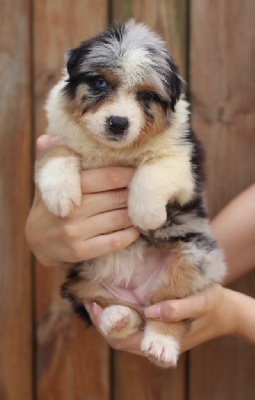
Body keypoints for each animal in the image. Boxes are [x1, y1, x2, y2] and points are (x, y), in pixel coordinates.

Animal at [34, 20, 226, 368]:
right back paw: (116, 318)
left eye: (147, 95)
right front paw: (60, 196)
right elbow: (57, 154)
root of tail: (134, 291)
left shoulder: (185, 159)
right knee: (115, 311)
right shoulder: (55, 134)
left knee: (167, 308)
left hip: (194, 259)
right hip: (79, 284)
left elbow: (152, 169)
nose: (118, 123)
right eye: (99, 82)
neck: (113, 150)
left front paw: (145, 213)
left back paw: (160, 345)